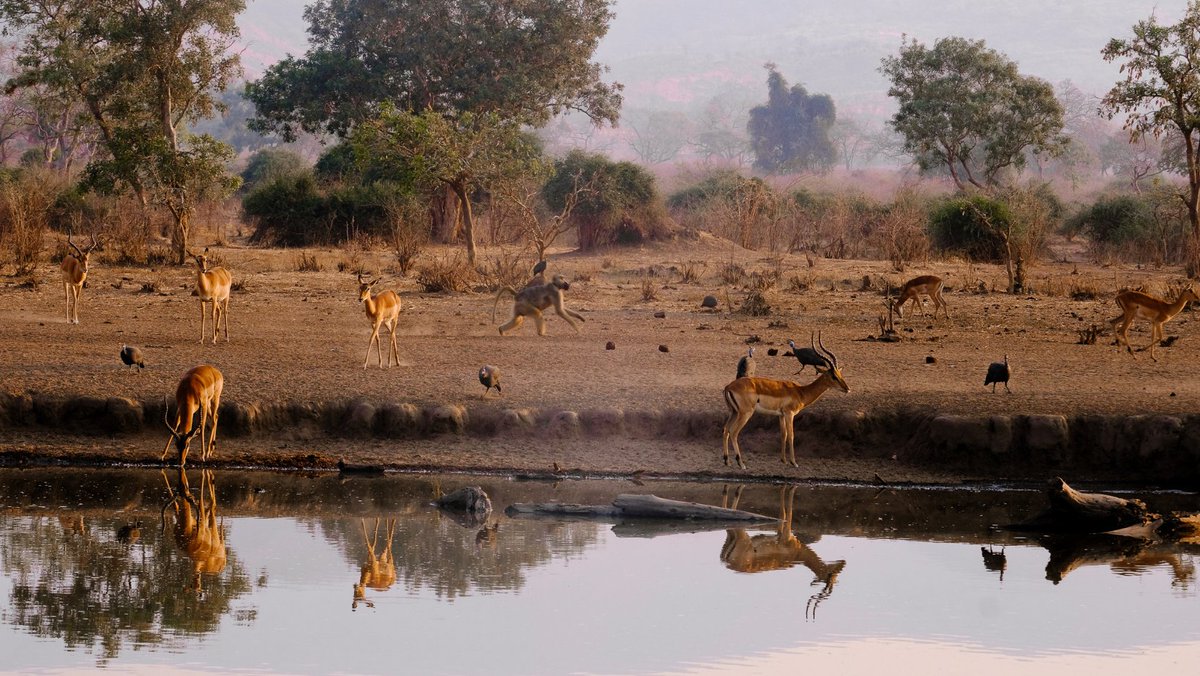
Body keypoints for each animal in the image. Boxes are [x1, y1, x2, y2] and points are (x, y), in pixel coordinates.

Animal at [721, 335, 848, 469]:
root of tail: (728, 387)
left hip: (733, 412)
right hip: (745, 413)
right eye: (833, 376)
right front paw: (794, 462)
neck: (800, 392)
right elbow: (791, 436)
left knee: (725, 429)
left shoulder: (781, 415)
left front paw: (783, 460)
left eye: (840, 374)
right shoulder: (789, 414)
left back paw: (727, 461)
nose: (847, 389)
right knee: (734, 432)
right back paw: (741, 463)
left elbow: (783, 435)